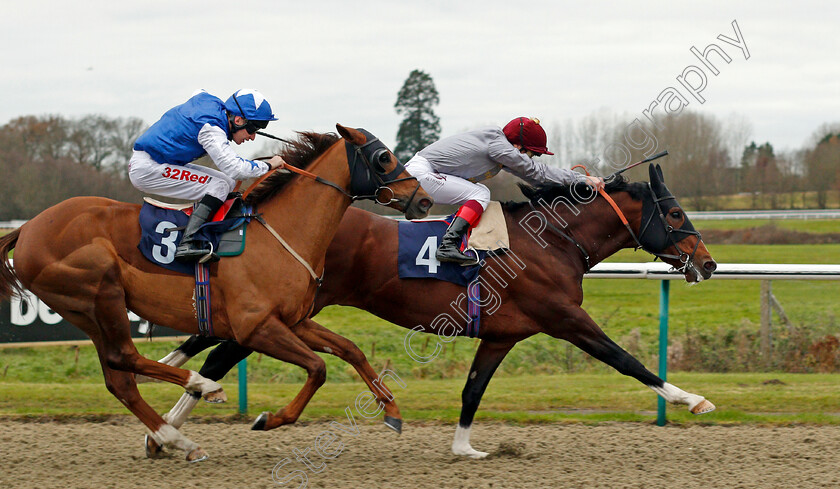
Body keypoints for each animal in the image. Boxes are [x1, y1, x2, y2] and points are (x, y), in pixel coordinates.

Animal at [0, 124, 434, 460]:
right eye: (383, 158)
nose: (425, 199)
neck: (280, 233)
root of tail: (27, 228)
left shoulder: (292, 320)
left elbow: (350, 350)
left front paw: (392, 410)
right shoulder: (255, 327)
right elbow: (318, 368)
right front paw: (269, 419)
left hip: (86, 313)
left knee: (118, 379)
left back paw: (176, 438)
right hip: (100, 291)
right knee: (124, 357)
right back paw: (200, 388)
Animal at [143, 163, 716, 458]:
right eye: (675, 213)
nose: (708, 264)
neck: (552, 241)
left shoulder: (502, 335)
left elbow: (472, 390)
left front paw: (465, 449)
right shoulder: (565, 319)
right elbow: (627, 362)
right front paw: (692, 400)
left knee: (214, 348)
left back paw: (165, 423)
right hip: (283, 308)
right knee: (219, 356)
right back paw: (169, 428)